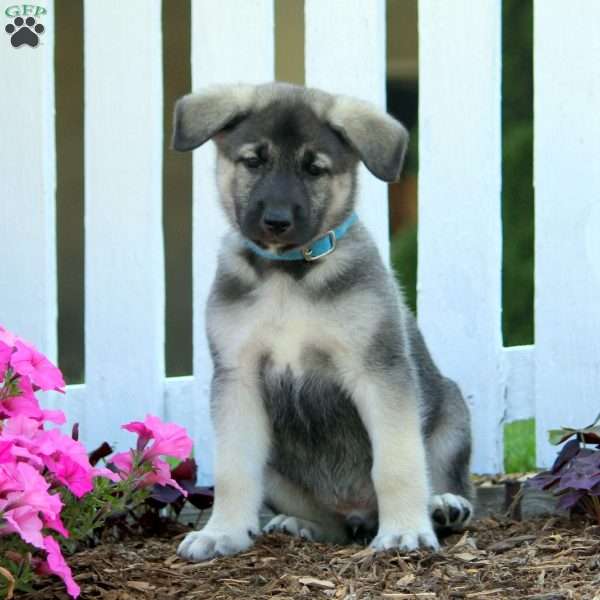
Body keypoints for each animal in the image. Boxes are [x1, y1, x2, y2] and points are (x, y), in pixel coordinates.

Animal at [173, 82, 474, 560]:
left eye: (315, 169)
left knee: (444, 477)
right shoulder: (238, 380)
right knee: (330, 523)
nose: (276, 221)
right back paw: (303, 524)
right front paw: (223, 532)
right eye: (253, 161)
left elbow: (397, 462)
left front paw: (405, 530)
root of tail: (358, 512)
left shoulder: (378, 373)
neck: (287, 276)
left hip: (452, 417)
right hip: (278, 469)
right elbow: (233, 470)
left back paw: (443, 506)